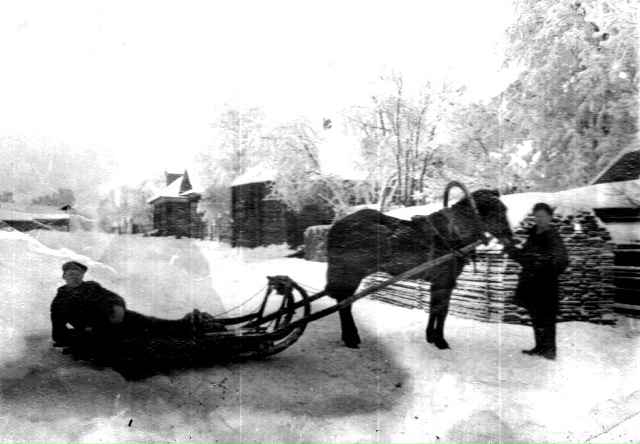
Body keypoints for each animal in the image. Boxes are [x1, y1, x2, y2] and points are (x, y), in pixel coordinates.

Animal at [324, 187, 513, 350]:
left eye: (504, 209)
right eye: (496, 211)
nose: (510, 237)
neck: (454, 234)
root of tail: (336, 227)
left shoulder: (437, 282)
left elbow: (433, 308)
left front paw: (431, 337)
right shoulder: (445, 281)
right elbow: (441, 310)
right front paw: (440, 341)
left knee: (344, 303)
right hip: (351, 274)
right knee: (345, 304)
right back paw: (351, 339)